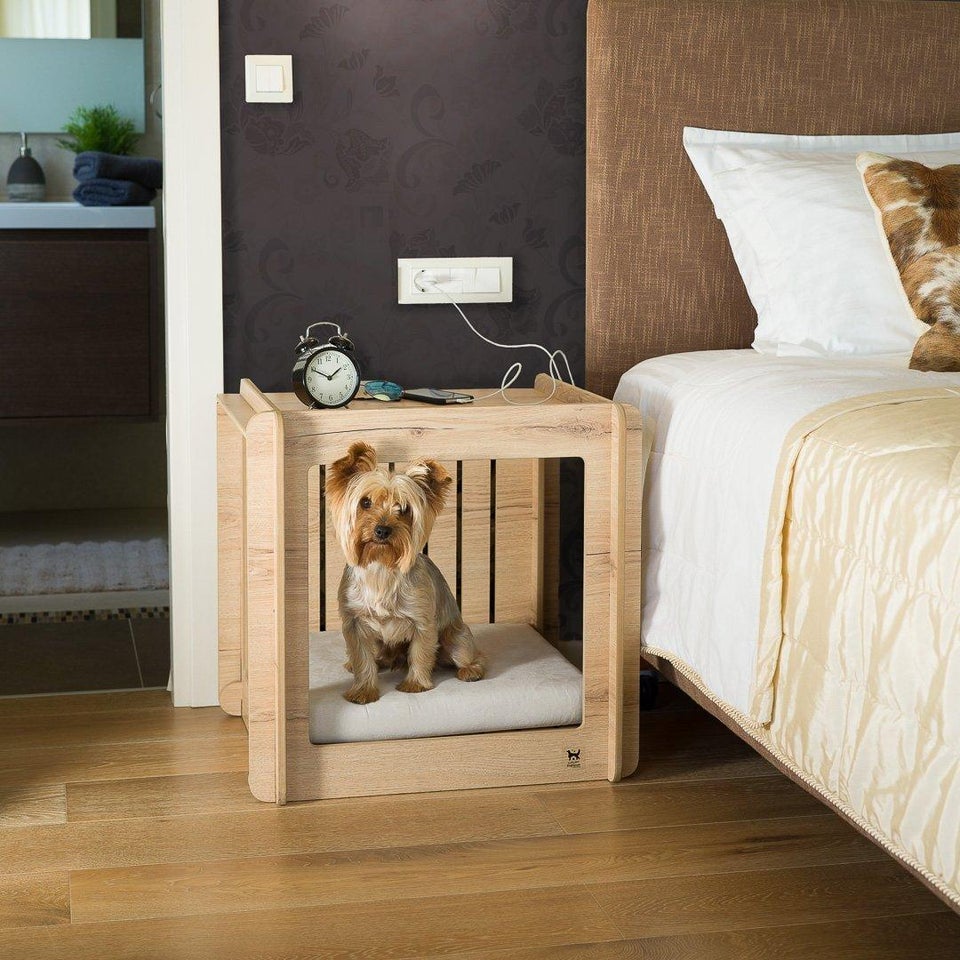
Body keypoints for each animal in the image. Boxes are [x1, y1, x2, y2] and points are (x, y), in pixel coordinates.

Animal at [326, 442, 488, 704]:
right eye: (365, 502)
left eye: (403, 509)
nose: (382, 530)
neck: (381, 566)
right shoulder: (354, 624)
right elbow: (362, 658)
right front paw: (363, 690)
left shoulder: (423, 621)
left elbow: (421, 652)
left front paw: (415, 684)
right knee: (375, 656)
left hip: (456, 638)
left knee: (470, 654)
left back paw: (470, 670)